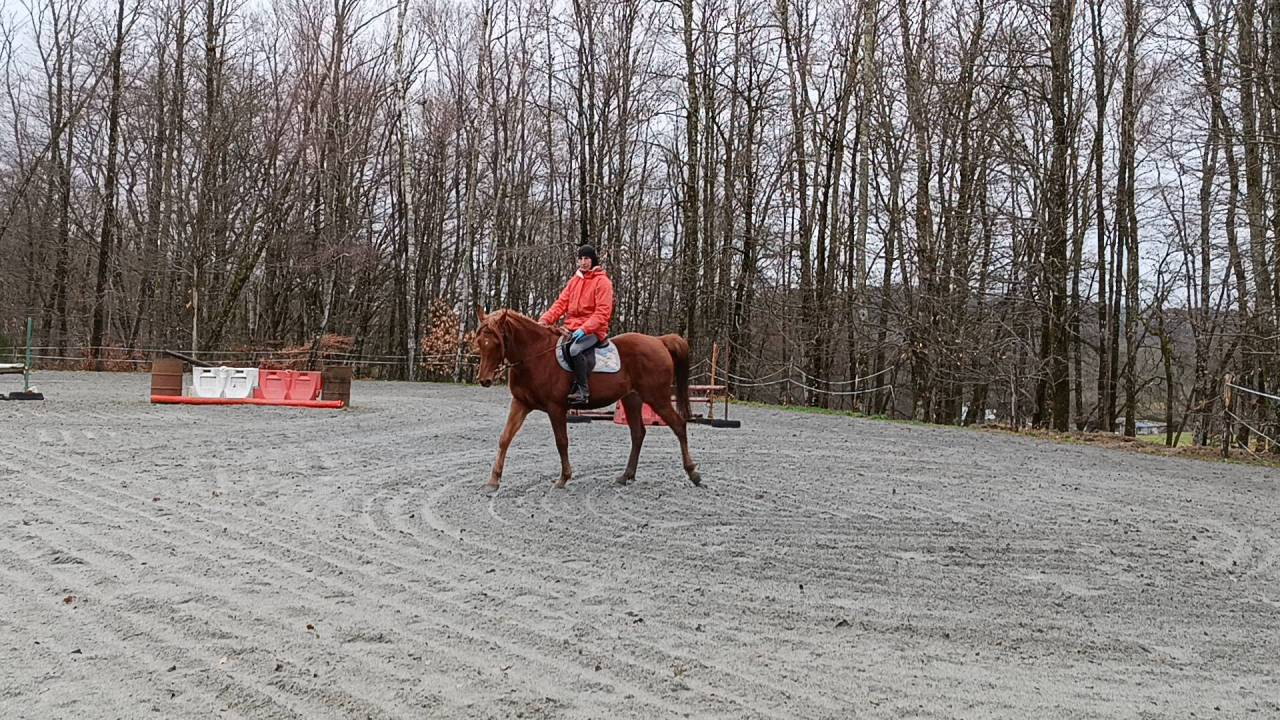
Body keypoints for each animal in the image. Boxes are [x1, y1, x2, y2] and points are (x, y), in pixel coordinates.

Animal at [472, 307, 701, 491]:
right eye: (480, 343)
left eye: (497, 342)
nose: (484, 379)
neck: (536, 355)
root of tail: (659, 341)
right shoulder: (520, 403)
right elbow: (505, 438)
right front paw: (493, 481)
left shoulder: (556, 408)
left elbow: (561, 441)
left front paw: (563, 478)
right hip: (632, 400)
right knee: (638, 434)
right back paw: (626, 475)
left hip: (657, 398)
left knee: (679, 425)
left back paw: (693, 473)